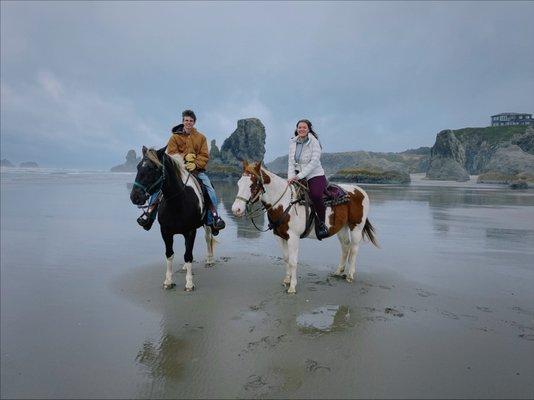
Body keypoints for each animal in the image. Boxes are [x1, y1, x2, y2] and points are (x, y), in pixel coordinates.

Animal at [131, 147, 217, 290]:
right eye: (138, 166)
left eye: (155, 168)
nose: (135, 196)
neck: (177, 202)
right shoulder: (166, 232)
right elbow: (170, 254)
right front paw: (168, 281)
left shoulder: (190, 231)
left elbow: (188, 255)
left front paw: (189, 283)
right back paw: (185, 267)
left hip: (207, 225)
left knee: (208, 238)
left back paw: (210, 259)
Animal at [232, 162, 378, 294]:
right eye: (239, 183)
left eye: (252, 185)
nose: (236, 209)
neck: (285, 203)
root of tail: (360, 190)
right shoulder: (279, 236)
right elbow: (286, 258)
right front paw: (287, 280)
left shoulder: (293, 238)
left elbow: (293, 261)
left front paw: (292, 286)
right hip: (342, 228)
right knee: (346, 247)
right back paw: (338, 271)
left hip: (356, 227)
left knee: (354, 249)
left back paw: (350, 275)